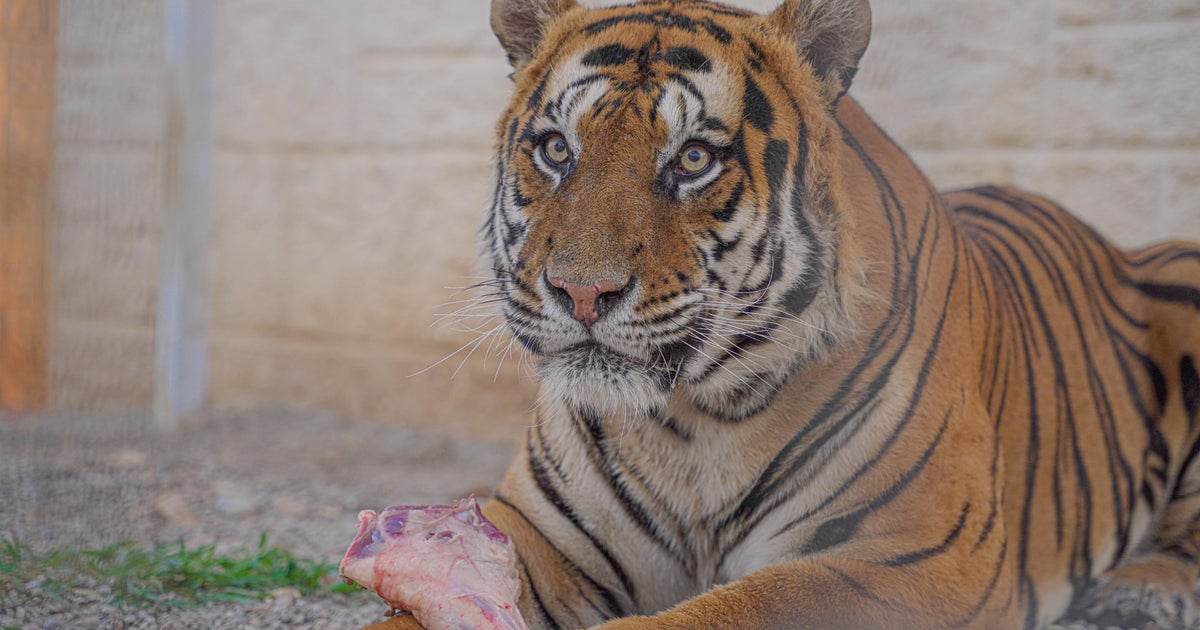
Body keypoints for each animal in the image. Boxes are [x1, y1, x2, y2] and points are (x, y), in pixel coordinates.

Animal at [367, 0, 1200, 624]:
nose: (581, 293)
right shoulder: (542, 540)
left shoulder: (911, 560)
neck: (689, 423)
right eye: (555, 150)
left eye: (693, 159)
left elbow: (714, 614)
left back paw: (1137, 590)